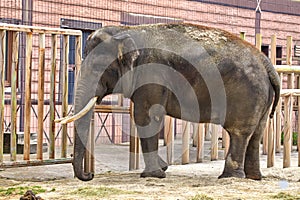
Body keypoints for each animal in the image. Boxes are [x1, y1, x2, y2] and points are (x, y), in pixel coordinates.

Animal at [56, 23, 282, 181]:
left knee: (239, 133)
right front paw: (162, 169)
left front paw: (152, 175)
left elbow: (146, 117)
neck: (126, 30)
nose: (90, 176)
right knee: (257, 133)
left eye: (98, 68)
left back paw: (229, 177)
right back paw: (253, 177)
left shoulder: (151, 74)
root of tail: (267, 64)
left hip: (247, 95)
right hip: (261, 97)